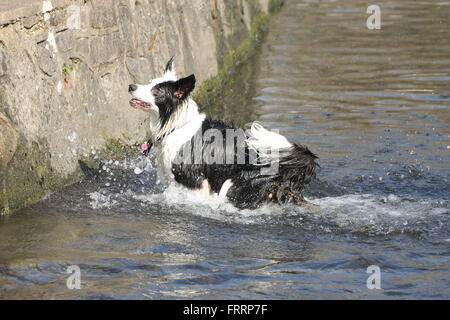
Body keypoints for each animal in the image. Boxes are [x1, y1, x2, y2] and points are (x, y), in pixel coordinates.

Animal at [126, 57, 318, 210]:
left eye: (156, 91)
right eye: (149, 82)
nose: (131, 86)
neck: (177, 125)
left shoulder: (195, 181)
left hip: (235, 184)